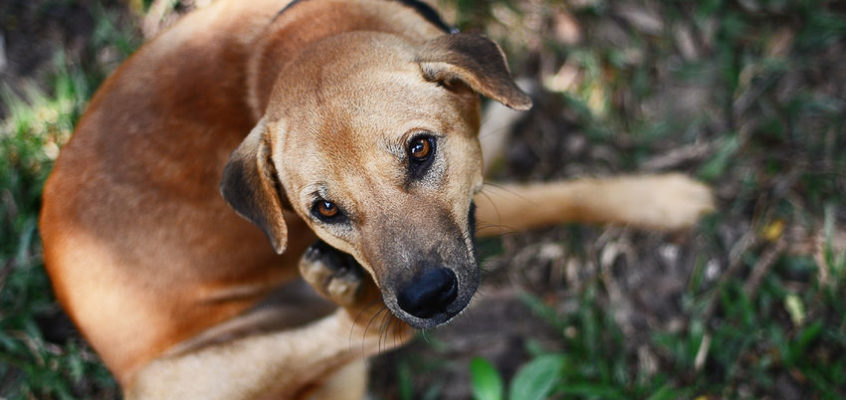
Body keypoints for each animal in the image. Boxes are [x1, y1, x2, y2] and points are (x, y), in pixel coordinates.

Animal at [39, 1, 716, 398]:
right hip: (174, 379)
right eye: (324, 209)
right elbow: (556, 198)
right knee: (362, 334)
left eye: (420, 149)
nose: (426, 298)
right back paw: (350, 297)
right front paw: (659, 199)